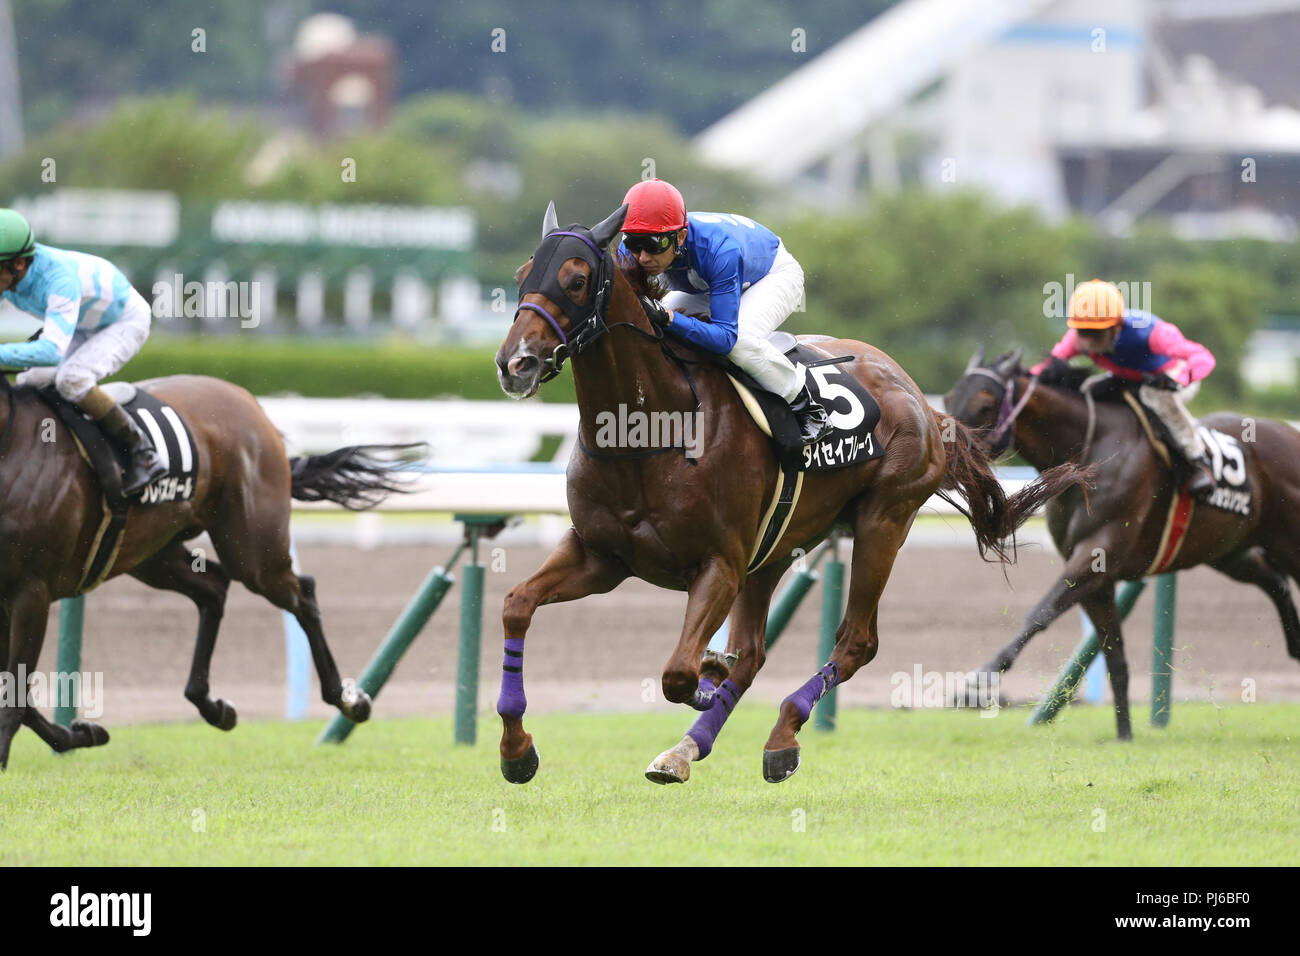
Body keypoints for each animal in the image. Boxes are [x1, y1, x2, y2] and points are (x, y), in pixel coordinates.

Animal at [0, 374, 416, 770]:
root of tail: (249, 401)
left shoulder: (32, 592)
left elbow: (15, 695)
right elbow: (14, 691)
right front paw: (83, 733)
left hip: (253, 552)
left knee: (302, 594)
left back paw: (349, 699)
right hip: (151, 553)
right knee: (213, 587)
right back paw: (213, 705)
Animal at [488, 204, 1086, 785]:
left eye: (576, 279)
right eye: (522, 275)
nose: (515, 363)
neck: (650, 430)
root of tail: (920, 397)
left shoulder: (719, 563)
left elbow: (679, 673)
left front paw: (708, 673)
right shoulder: (601, 555)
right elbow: (516, 605)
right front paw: (517, 751)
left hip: (883, 520)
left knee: (855, 641)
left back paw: (780, 737)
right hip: (777, 545)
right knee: (754, 653)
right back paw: (687, 748)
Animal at [946, 351, 1300, 738]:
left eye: (984, 404)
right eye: (948, 400)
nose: (947, 458)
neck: (1089, 452)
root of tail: (1289, 432)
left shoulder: (1096, 553)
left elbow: (1041, 612)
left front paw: (982, 678)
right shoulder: (1096, 575)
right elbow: (1114, 653)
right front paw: (1125, 734)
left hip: (1284, 540)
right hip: (1227, 551)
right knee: (1276, 581)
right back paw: (1296, 645)